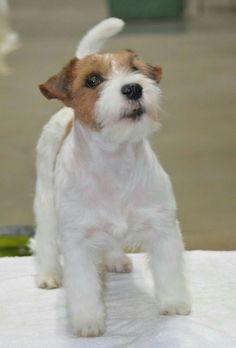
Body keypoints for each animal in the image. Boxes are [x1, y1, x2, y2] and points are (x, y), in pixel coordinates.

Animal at [34, 18, 191, 338]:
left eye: (137, 70)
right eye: (93, 80)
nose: (133, 88)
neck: (115, 160)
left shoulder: (163, 226)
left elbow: (169, 270)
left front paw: (174, 303)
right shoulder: (77, 241)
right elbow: (83, 287)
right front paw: (88, 322)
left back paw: (116, 259)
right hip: (45, 199)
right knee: (44, 238)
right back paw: (49, 274)